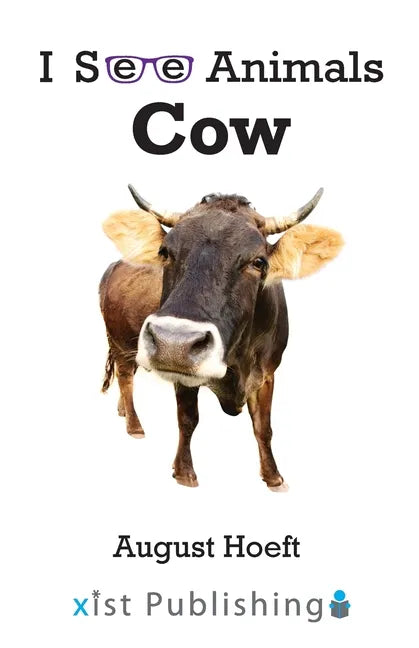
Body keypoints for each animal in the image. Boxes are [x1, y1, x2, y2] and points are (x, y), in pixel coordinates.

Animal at [99, 185, 343, 490]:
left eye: (258, 262)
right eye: (165, 252)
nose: (174, 342)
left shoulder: (267, 373)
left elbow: (263, 427)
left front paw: (273, 477)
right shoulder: (184, 375)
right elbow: (188, 420)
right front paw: (184, 473)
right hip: (119, 341)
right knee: (125, 378)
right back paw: (134, 425)